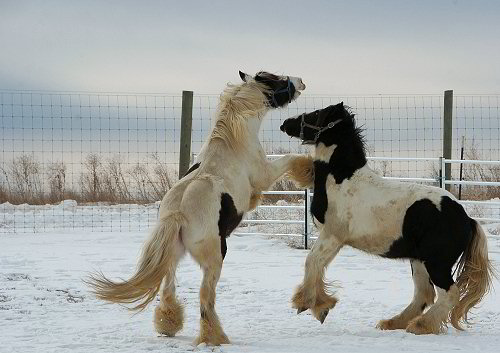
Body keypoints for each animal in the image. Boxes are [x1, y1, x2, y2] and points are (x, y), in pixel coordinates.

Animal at [86, 71, 312, 344]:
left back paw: (168, 325)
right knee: (205, 298)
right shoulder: (265, 174)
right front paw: (309, 170)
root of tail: (177, 214)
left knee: (168, 289)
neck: (232, 141)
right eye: (276, 79)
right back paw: (215, 336)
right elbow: (290, 159)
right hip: (215, 258)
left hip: (173, 255)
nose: (301, 82)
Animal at [280, 103, 494, 334]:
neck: (340, 180)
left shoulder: (332, 236)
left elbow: (312, 262)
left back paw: (420, 325)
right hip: (419, 260)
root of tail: (468, 219)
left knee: (449, 293)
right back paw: (393, 323)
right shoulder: (335, 240)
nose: (285, 123)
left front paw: (310, 305)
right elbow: (318, 265)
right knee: (424, 294)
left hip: (436, 262)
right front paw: (320, 305)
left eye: (316, 113)